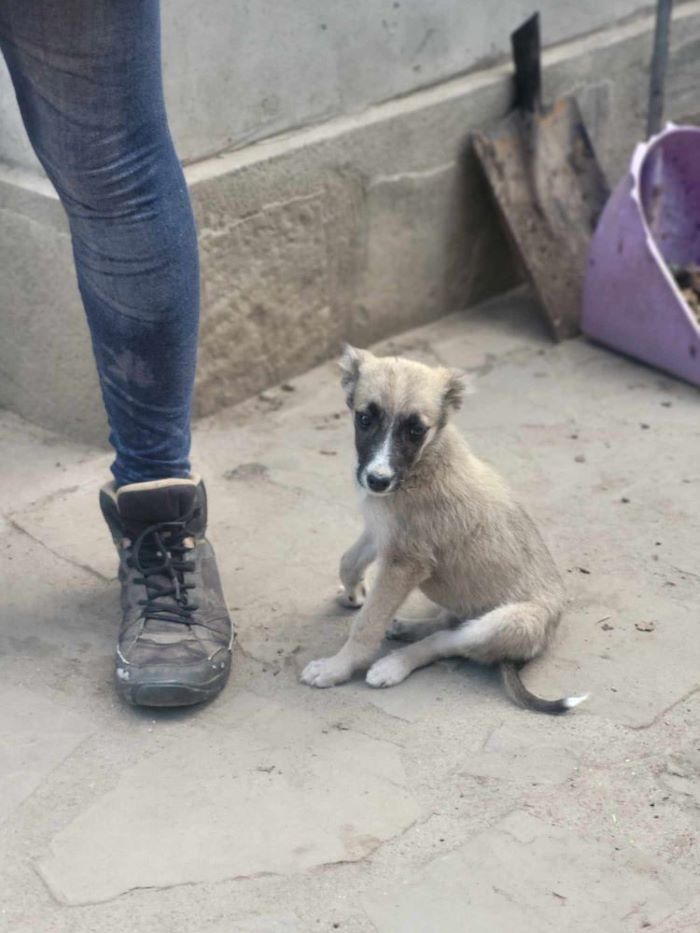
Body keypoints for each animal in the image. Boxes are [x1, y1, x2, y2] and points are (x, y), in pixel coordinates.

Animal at [300, 344, 584, 712]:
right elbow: (348, 561)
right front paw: (354, 593)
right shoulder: (382, 531)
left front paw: (337, 668)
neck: (424, 462)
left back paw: (394, 664)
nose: (377, 480)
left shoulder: (404, 563)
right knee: (448, 623)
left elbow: (367, 623)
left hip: (506, 622)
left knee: (448, 641)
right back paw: (407, 627)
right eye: (364, 418)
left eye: (415, 430)